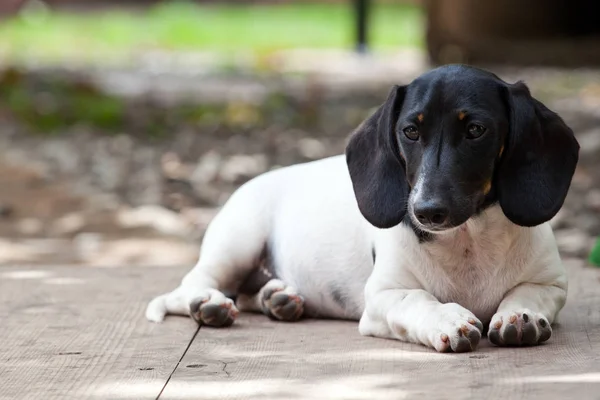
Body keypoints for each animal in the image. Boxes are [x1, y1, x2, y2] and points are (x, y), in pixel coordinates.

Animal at [146, 64, 580, 352]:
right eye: (410, 131)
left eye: (476, 130)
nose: (426, 212)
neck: (468, 241)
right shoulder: (383, 297)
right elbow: (418, 300)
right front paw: (448, 318)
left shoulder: (551, 285)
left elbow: (527, 293)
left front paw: (519, 316)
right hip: (236, 243)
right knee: (192, 286)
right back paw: (210, 304)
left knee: (250, 293)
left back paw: (279, 297)